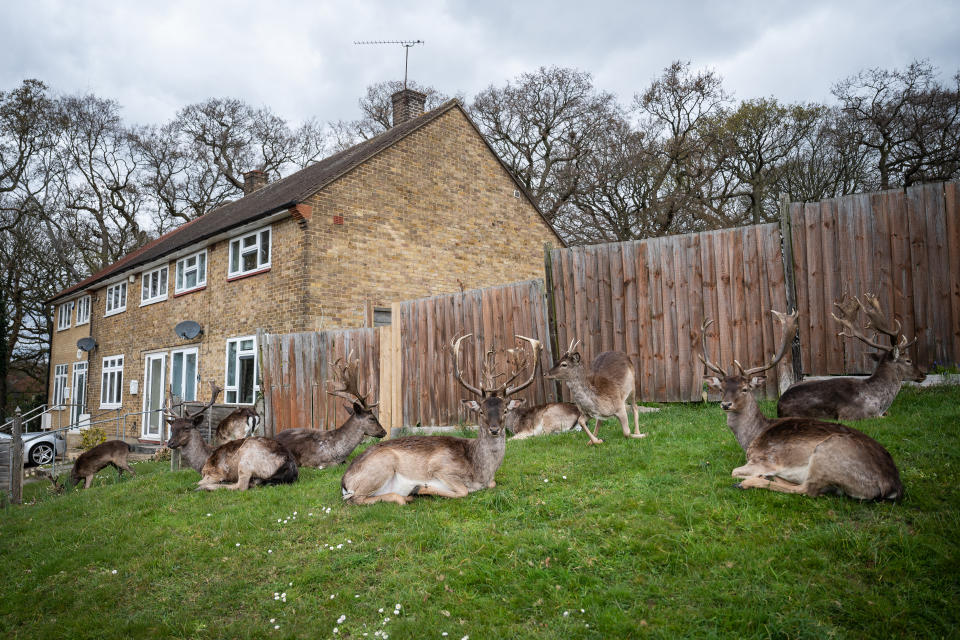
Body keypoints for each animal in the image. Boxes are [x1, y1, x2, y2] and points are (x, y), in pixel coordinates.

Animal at [165, 382, 298, 492]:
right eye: (172, 428)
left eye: (187, 428)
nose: (170, 443)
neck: (202, 462)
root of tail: (288, 463)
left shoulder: (214, 472)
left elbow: (195, 482)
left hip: (246, 459)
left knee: (241, 486)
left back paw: (207, 487)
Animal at [342, 336, 540, 504]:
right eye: (481, 411)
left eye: (505, 410)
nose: (494, 429)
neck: (480, 472)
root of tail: (345, 482)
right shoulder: (441, 466)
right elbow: (463, 491)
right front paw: (420, 488)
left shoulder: (489, 481)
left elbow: (492, 484)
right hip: (383, 464)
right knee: (356, 499)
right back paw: (405, 496)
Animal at [700, 308, 904, 500]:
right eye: (721, 389)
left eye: (745, 389)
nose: (726, 404)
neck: (752, 437)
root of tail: (892, 486)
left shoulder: (765, 459)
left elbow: (734, 471)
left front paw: (755, 476)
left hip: (826, 454)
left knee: (808, 490)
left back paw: (750, 482)